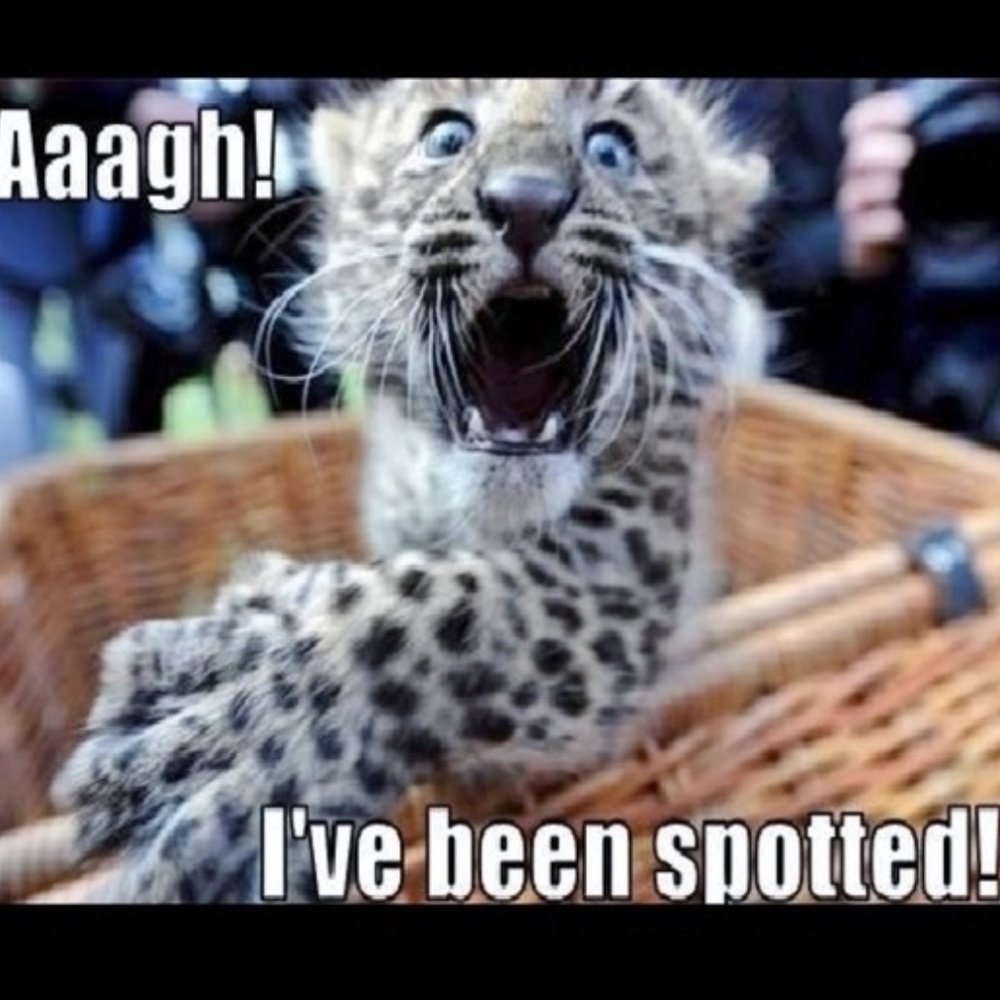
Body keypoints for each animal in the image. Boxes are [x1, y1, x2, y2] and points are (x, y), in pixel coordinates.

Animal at [50, 78, 771, 903]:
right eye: (447, 137)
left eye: (612, 147)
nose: (526, 199)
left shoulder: (618, 582)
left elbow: (432, 600)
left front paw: (225, 736)